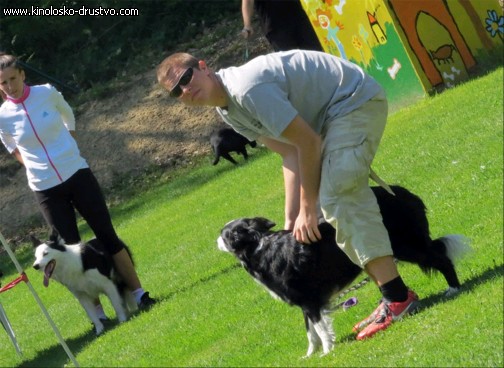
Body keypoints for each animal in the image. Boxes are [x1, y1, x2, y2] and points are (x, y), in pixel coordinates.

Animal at [219, 187, 470, 356]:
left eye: (224, 234)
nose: (216, 241)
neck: (257, 246)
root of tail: (403, 193)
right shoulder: (303, 302)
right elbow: (310, 331)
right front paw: (309, 355)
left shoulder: (310, 300)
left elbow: (319, 328)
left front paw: (328, 351)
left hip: (406, 244)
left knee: (441, 258)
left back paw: (453, 288)